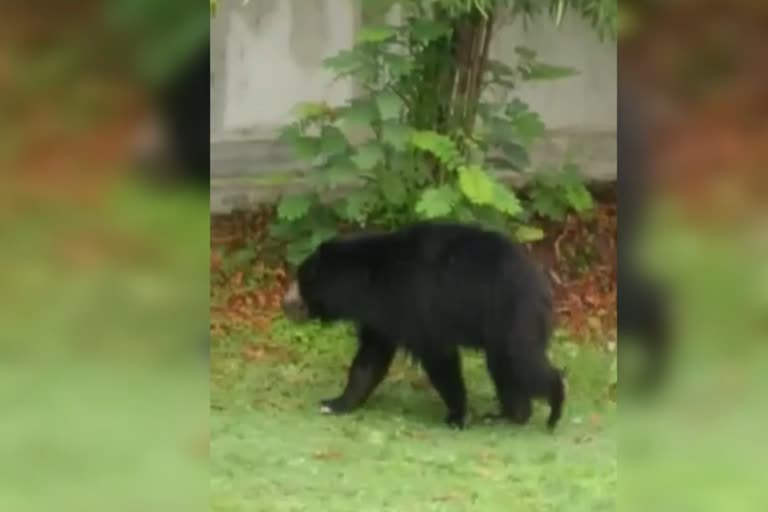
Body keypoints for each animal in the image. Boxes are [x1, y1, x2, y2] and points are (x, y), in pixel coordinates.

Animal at [280, 222, 564, 430]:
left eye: (301, 278)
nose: (285, 303)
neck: (367, 280)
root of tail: (543, 282)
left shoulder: (415, 301)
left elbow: (439, 357)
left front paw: (457, 415)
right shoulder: (383, 313)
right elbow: (369, 360)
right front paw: (335, 403)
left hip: (511, 312)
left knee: (520, 359)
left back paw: (554, 406)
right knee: (505, 367)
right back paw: (509, 415)